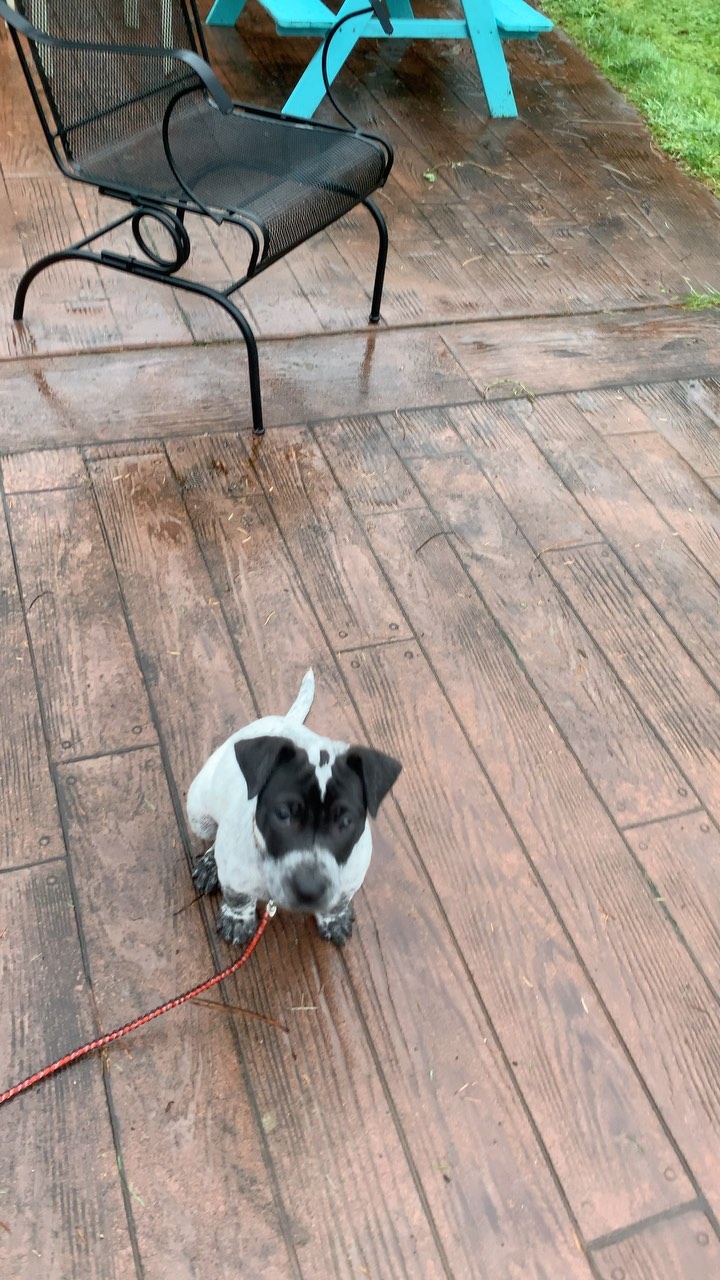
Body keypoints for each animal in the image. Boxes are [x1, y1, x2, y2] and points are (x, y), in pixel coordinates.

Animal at [185, 670, 397, 952]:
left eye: (346, 821)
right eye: (283, 814)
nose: (309, 888)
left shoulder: (351, 877)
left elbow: (339, 900)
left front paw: (333, 919)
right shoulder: (235, 874)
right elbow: (238, 897)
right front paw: (237, 919)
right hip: (199, 811)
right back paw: (210, 863)